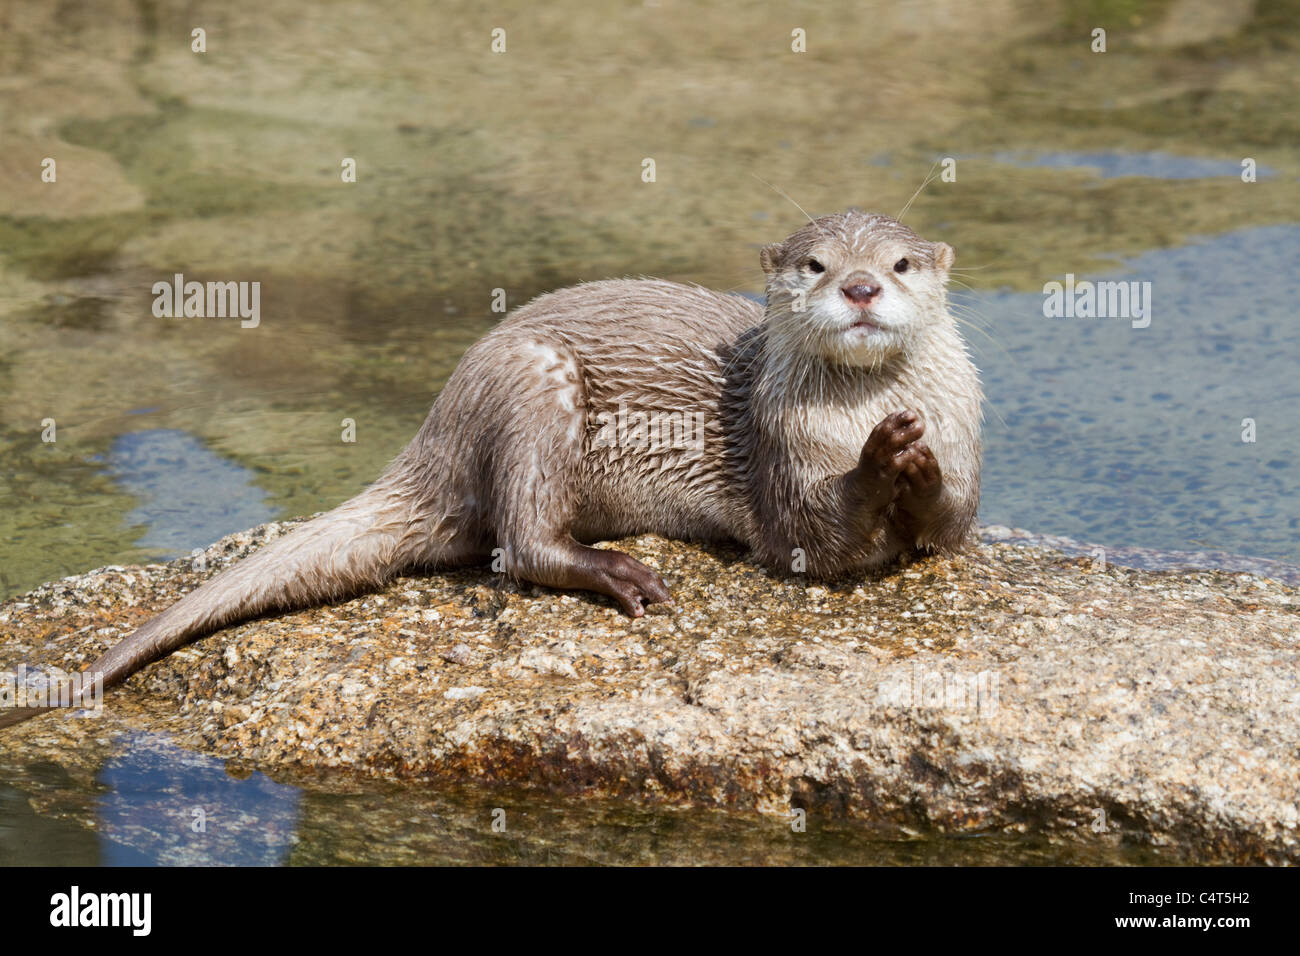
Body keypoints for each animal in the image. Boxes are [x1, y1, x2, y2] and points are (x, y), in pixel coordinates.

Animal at [0, 209, 982, 729]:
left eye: (898, 262)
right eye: (816, 264)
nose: (859, 286)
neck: (840, 419)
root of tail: (439, 420)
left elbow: (949, 528)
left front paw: (917, 460)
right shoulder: (784, 476)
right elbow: (819, 536)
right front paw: (882, 457)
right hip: (530, 384)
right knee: (522, 542)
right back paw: (618, 572)